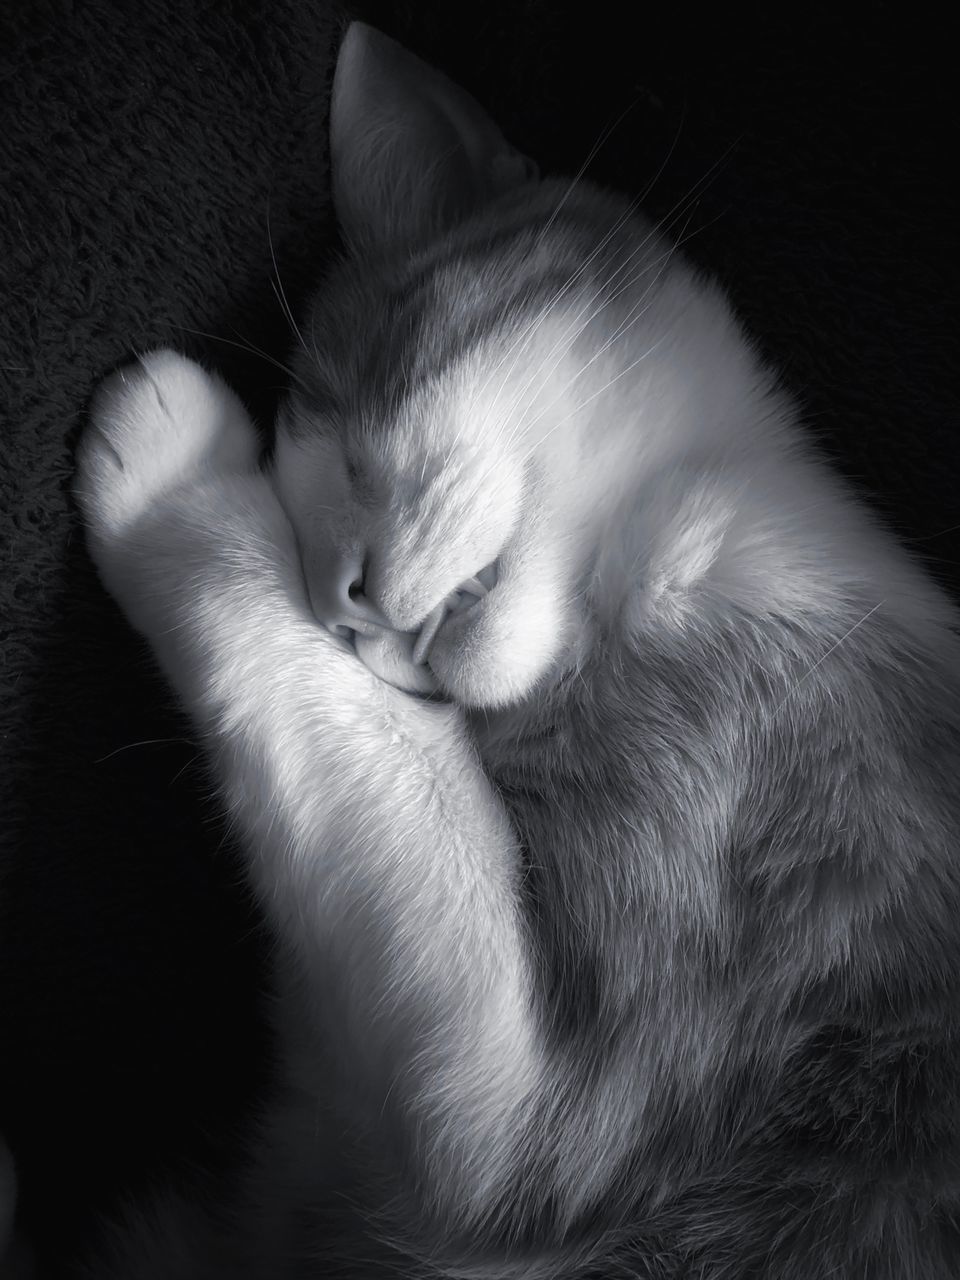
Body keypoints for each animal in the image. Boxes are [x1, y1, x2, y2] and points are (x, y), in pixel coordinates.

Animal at [60, 17, 960, 1280]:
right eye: (315, 553)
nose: (348, 607)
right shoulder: (438, 1119)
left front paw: (175, 480)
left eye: (351, 399)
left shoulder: (534, 1119)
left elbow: (354, 733)